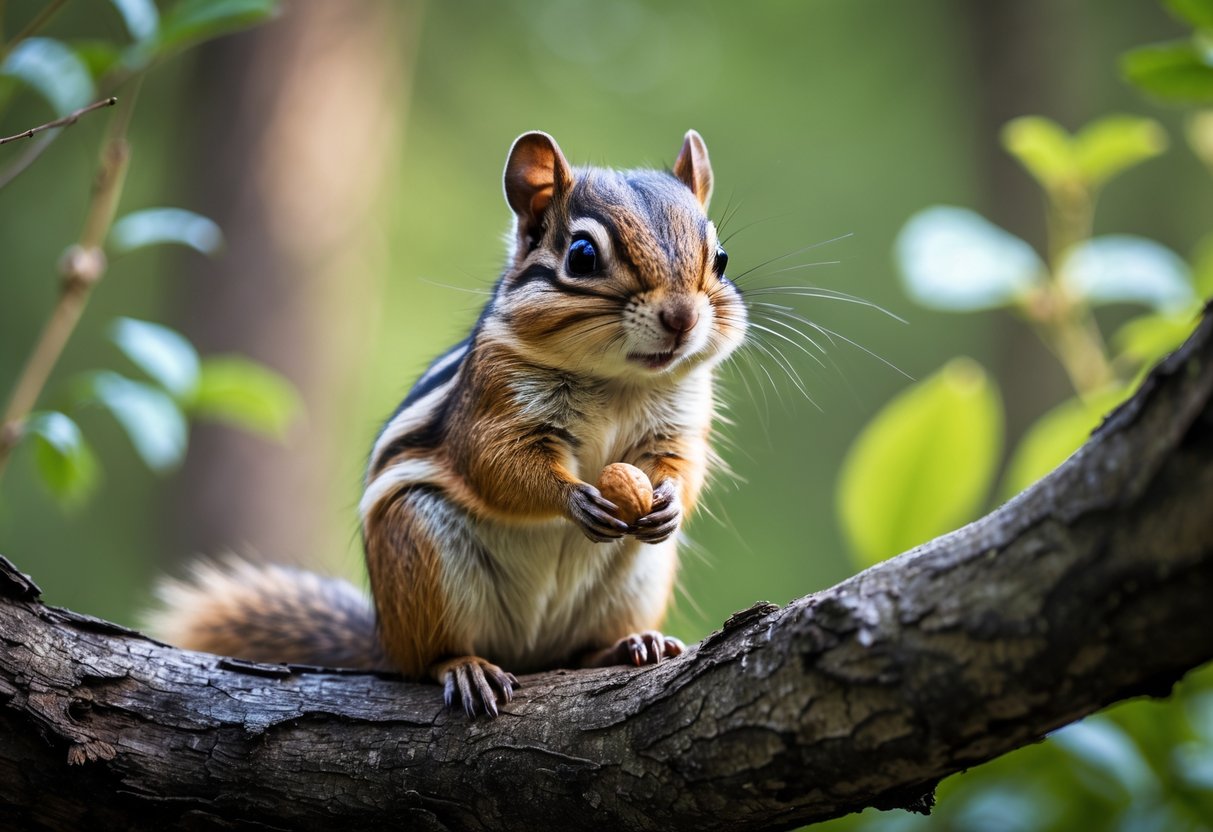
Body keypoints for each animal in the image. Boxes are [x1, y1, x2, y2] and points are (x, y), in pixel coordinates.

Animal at [148, 130, 748, 717]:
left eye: (720, 258)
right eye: (581, 257)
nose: (682, 317)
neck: (618, 381)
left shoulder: (678, 422)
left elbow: (681, 463)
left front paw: (667, 500)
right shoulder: (493, 403)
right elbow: (496, 465)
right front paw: (576, 497)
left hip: (638, 579)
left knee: (581, 652)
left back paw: (632, 644)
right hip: (420, 553)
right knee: (429, 659)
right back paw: (466, 668)